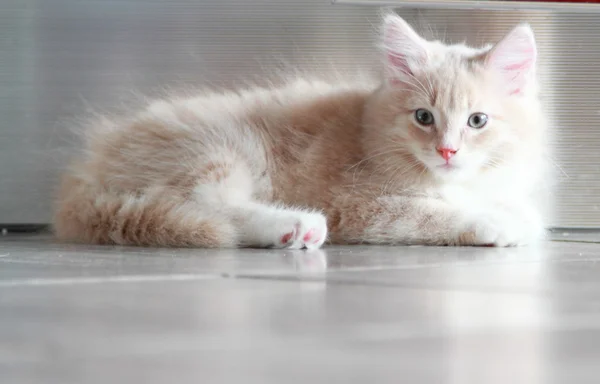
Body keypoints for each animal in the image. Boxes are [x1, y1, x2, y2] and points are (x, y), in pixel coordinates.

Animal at [54, 13, 552, 249]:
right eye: (423, 117)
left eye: (477, 121)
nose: (448, 152)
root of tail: (85, 174)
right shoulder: (359, 205)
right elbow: (433, 214)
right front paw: (489, 222)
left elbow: (527, 214)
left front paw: (512, 217)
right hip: (217, 149)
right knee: (210, 204)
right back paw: (294, 223)